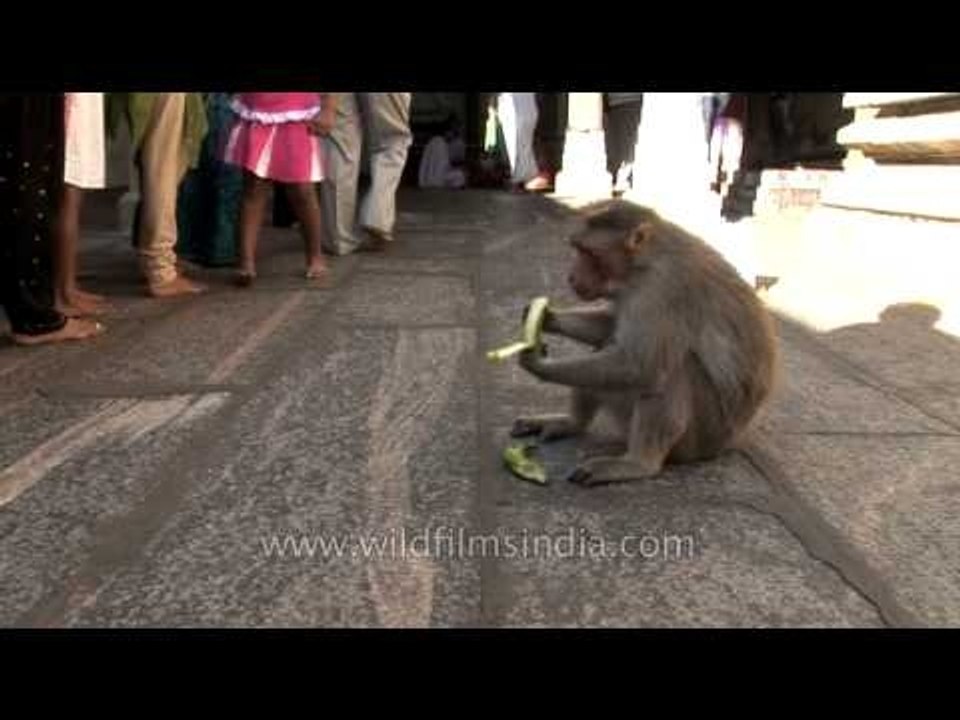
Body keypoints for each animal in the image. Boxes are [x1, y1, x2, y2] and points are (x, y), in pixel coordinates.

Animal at [512, 200, 777, 486]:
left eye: (589, 253)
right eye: (577, 249)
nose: (570, 277)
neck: (643, 263)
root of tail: (732, 440)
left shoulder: (661, 290)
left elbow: (639, 368)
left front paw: (536, 363)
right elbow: (610, 328)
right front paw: (546, 317)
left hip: (702, 438)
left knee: (670, 372)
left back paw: (638, 463)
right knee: (608, 349)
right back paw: (573, 423)